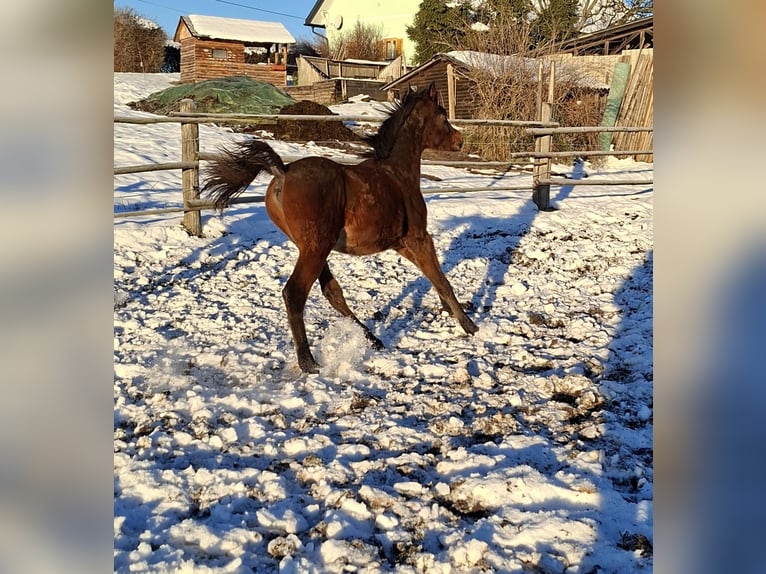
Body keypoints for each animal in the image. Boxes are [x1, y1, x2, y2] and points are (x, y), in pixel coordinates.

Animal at [202, 82, 478, 374]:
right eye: (443, 116)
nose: (460, 140)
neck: (397, 174)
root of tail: (282, 172)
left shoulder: (400, 243)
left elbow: (433, 277)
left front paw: (452, 311)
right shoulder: (418, 237)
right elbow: (441, 279)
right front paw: (469, 325)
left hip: (311, 247)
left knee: (332, 292)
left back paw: (372, 338)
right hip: (316, 248)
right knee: (295, 293)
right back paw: (309, 361)